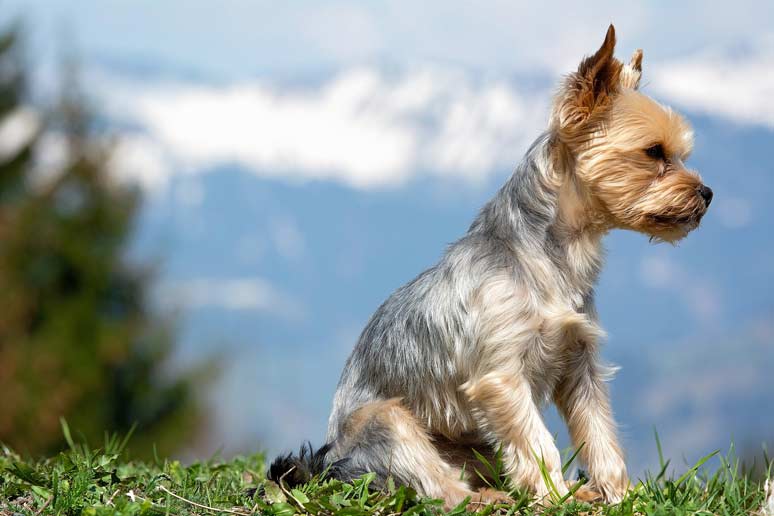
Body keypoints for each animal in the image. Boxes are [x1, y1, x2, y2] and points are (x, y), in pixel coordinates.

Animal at [270, 25, 712, 508]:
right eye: (654, 152)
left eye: (680, 153)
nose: (707, 194)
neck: (553, 254)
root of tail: (330, 463)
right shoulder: (502, 377)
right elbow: (538, 443)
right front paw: (556, 498)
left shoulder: (580, 362)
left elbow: (599, 432)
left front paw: (618, 493)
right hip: (388, 422)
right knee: (439, 487)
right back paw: (489, 498)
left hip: (476, 443)